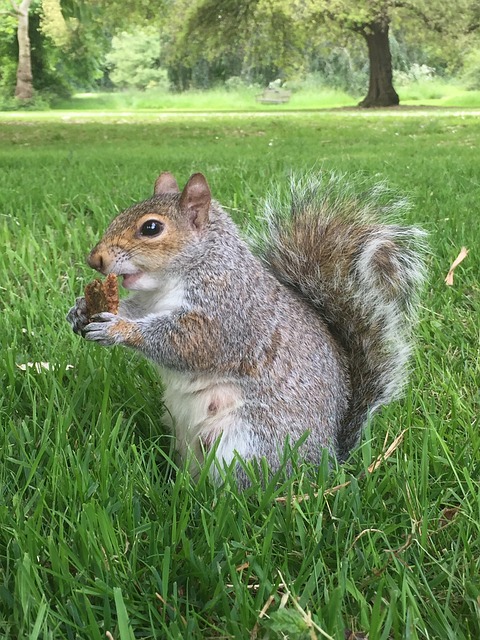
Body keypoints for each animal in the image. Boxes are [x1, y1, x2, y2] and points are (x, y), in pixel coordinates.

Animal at [65, 171, 426, 484]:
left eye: (151, 228)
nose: (94, 259)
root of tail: (326, 463)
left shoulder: (228, 314)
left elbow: (186, 344)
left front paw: (118, 330)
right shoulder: (147, 303)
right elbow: (133, 309)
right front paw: (81, 310)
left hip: (245, 443)